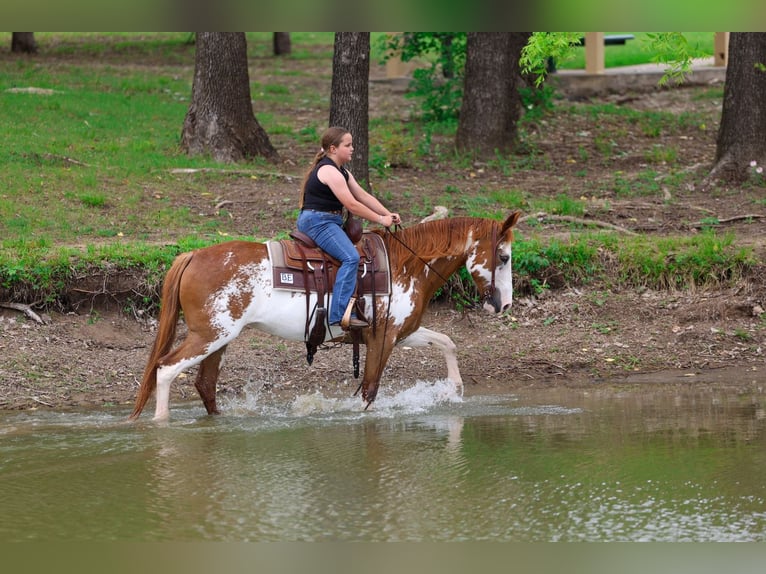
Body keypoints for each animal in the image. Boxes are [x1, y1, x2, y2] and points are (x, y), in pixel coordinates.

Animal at [129, 211, 521, 421]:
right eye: (503, 257)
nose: (504, 305)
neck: (405, 265)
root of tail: (193, 255)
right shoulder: (382, 338)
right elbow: (369, 392)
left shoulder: (403, 331)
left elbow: (446, 342)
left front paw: (454, 389)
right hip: (208, 335)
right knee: (166, 369)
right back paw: (161, 422)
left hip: (220, 338)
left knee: (205, 384)